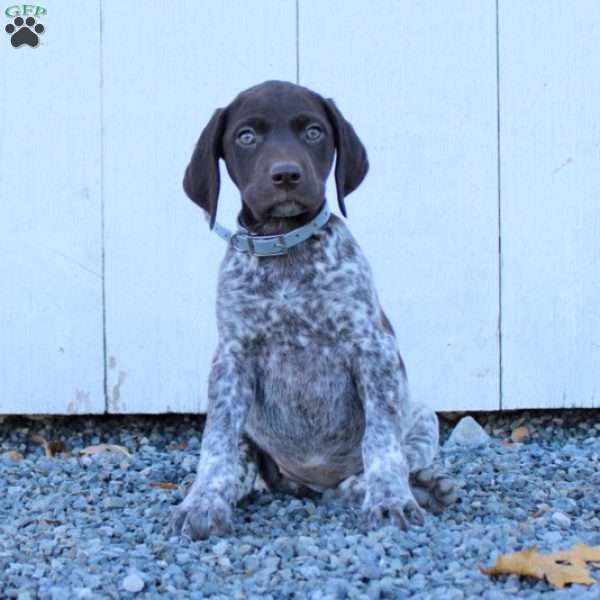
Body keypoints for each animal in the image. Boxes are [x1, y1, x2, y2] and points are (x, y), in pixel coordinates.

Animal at [169, 78, 454, 540]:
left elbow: (382, 440)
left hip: (422, 414)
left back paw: (420, 487)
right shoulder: (232, 359)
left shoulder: (372, 349)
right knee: (245, 471)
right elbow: (217, 445)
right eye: (245, 137)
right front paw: (202, 502)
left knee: (383, 464)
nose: (286, 174)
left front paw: (390, 500)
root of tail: (310, 483)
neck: (286, 250)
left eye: (314, 132)